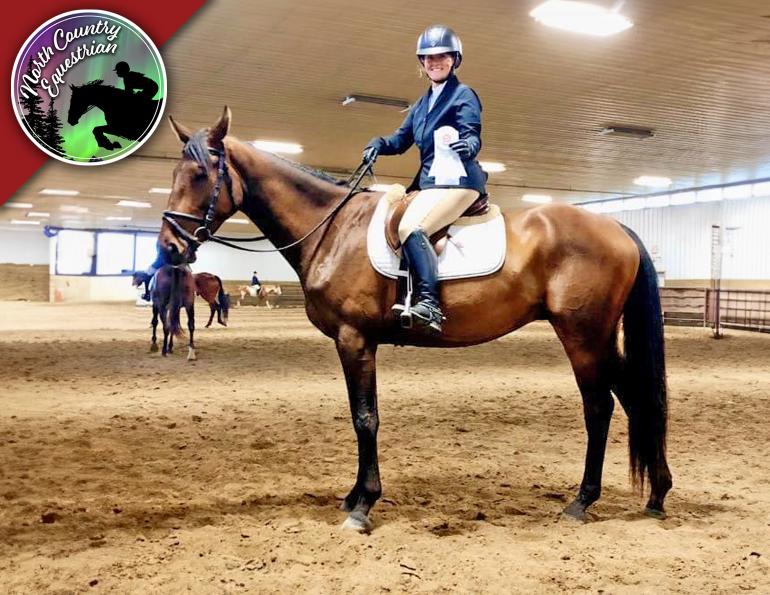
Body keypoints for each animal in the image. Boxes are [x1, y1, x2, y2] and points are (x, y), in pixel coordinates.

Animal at [157, 107, 671, 533]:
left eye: (200, 174)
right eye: (175, 172)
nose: (170, 247)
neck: (331, 229)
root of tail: (616, 226)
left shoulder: (354, 339)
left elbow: (365, 418)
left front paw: (363, 506)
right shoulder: (354, 342)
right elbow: (361, 416)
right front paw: (353, 497)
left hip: (582, 336)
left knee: (599, 407)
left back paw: (581, 502)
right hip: (598, 339)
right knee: (634, 399)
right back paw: (657, 494)